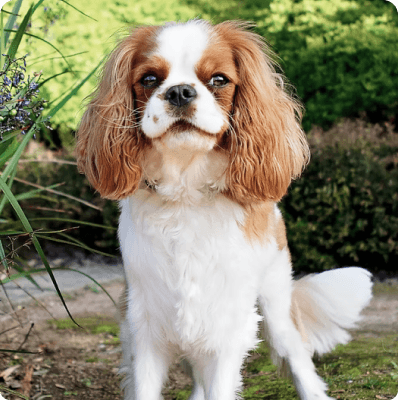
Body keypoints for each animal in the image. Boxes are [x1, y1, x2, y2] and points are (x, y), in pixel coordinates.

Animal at [75, 19, 374, 400]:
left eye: (218, 79)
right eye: (149, 79)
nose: (180, 92)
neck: (187, 193)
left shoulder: (228, 326)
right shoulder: (145, 326)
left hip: (275, 303)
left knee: (296, 356)